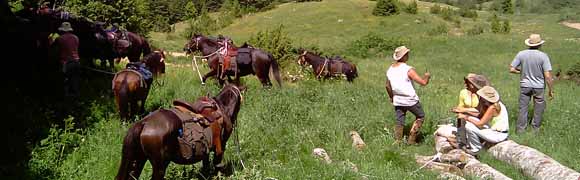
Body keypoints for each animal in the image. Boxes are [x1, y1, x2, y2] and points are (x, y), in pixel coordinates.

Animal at [115, 83, 245, 179]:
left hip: (139, 159)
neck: (222, 108)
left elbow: (206, 164)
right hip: (159, 167)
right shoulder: (221, 145)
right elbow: (217, 163)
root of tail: (143, 123)